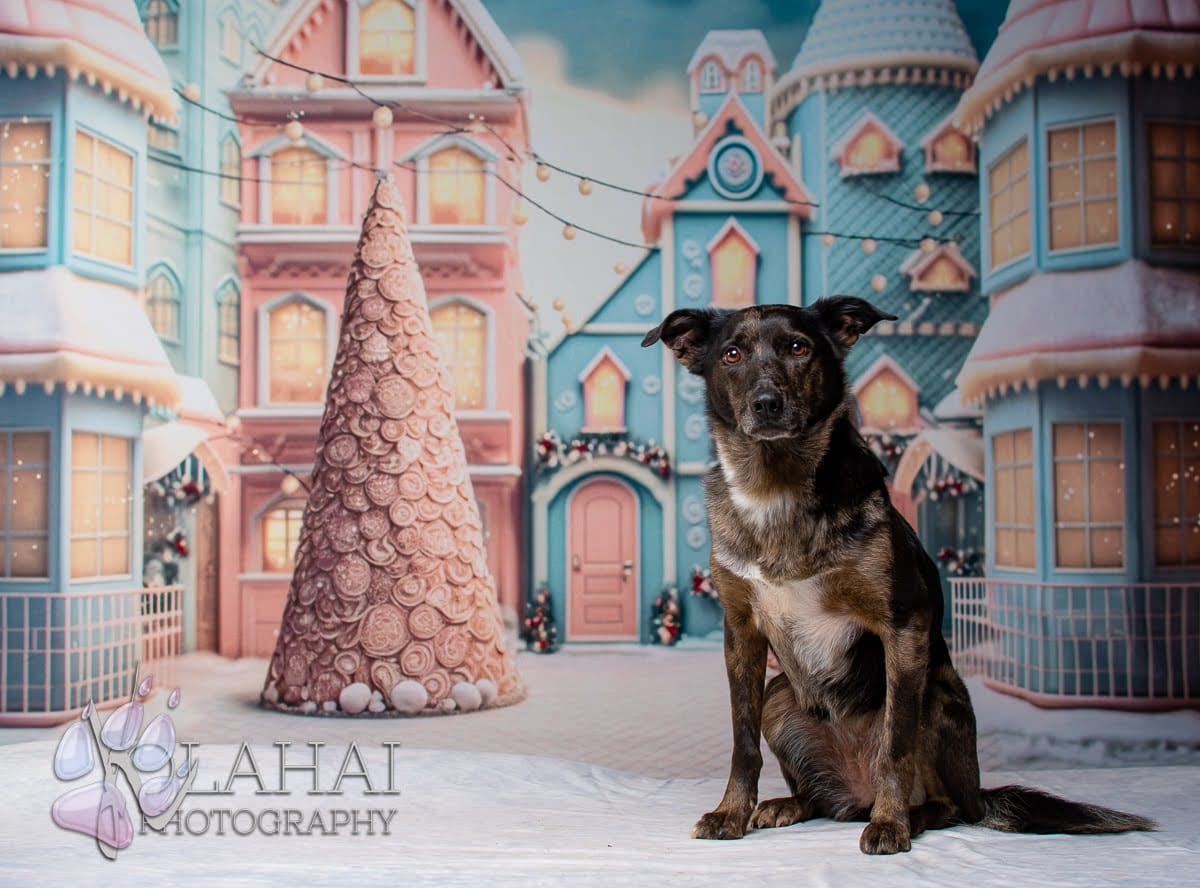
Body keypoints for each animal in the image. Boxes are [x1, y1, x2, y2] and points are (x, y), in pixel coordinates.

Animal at [643, 298, 1156, 854]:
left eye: (798, 348)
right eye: (732, 355)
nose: (766, 404)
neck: (775, 489)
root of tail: (854, 792)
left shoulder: (904, 624)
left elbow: (896, 744)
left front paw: (891, 824)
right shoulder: (741, 633)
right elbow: (743, 742)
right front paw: (731, 813)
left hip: (936, 690)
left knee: (951, 804)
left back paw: (908, 814)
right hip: (780, 697)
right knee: (820, 799)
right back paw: (789, 804)